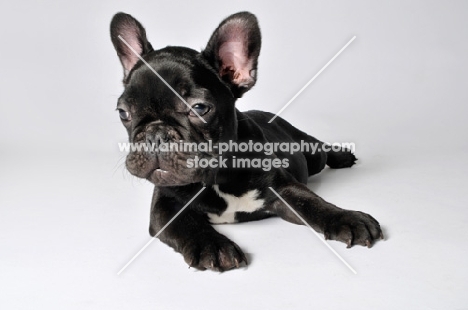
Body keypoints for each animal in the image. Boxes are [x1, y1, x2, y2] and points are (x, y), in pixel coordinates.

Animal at [111, 11, 382, 272]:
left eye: (199, 108)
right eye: (123, 113)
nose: (155, 134)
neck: (217, 178)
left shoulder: (283, 189)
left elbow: (312, 203)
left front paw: (347, 218)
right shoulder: (165, 205)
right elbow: (186, 223)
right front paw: (213, 246)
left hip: (311, 154)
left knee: (319, 148)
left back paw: (342, 155)